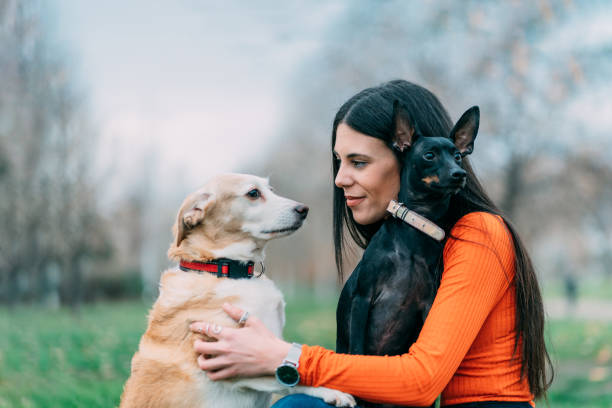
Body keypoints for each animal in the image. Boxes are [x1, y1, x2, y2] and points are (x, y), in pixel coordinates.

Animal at [119, 175, 354, 408]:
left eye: (271, 189)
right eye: (253, 193)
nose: (304, 209)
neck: (225, 269)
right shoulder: (227, 365)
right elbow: (288, 379)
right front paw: (331, 391)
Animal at [338, 101, 480, 408]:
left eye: (458, 157)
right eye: (429, 155)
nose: (459, 174)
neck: (417, 227)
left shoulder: (427, 307)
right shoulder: (362, 298)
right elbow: (356, 353)